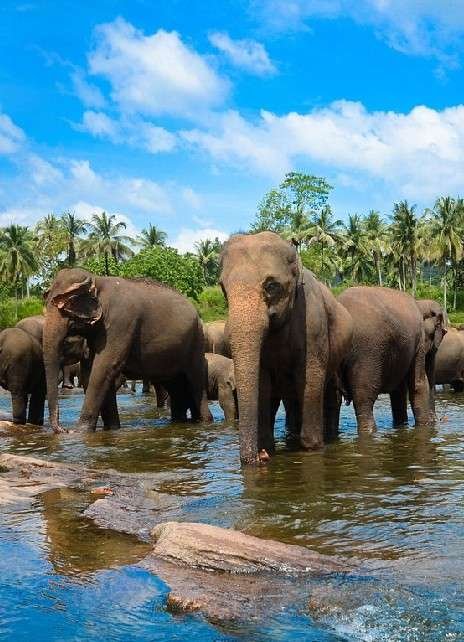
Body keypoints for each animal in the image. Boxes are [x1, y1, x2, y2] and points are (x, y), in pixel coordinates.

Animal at [43, 268, 210, 433]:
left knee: (195, 384)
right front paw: (112, 428)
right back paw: (179, 421)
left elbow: (104, 367)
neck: (97, 280)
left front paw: (80, 431)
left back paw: (205, 421)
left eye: (67, 305)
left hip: (196, 342)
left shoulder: (120, 322)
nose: (63, 429)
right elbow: (91, 372)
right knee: (176, 387)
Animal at [219, 232, 353, 464]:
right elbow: (262, 384)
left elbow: (310, 379)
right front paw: (267, 448)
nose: (261, 457)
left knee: (329, 393)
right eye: (223, 289)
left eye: (271, 286)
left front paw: (312, 448)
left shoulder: (313, 325)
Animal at [338, 287, 439, 433]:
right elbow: (418, 383)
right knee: (364, 397)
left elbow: (399, 391)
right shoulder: (418, 340)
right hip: (368, 351)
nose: (436, 420)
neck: (419, 302)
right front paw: (425, 426)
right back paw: (369, 431)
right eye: (436, 331)